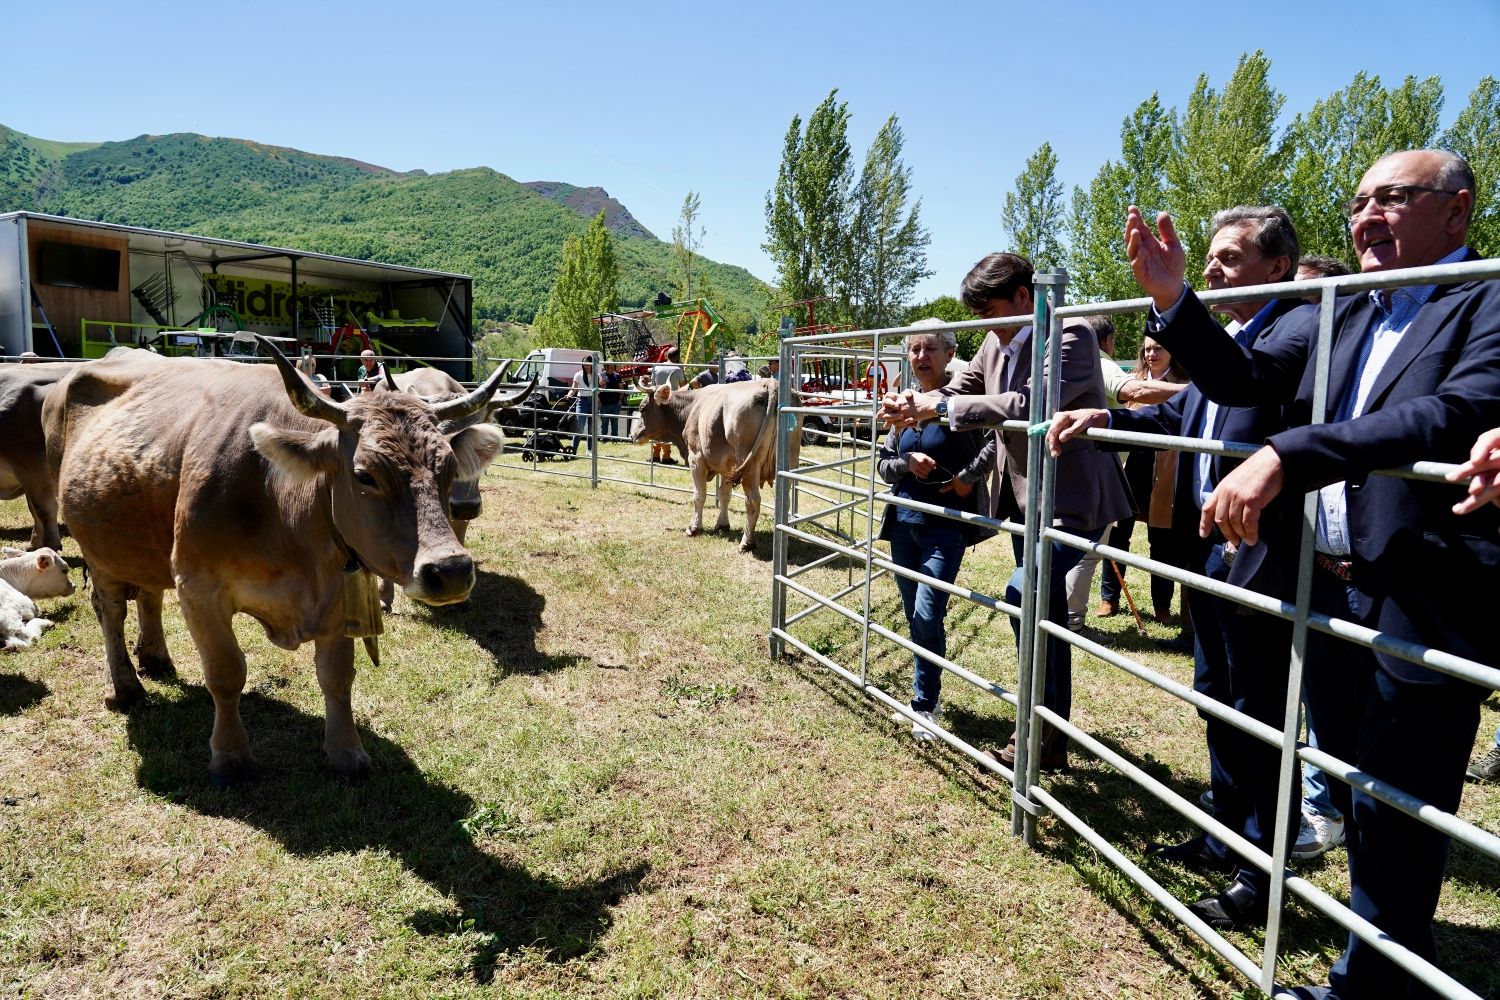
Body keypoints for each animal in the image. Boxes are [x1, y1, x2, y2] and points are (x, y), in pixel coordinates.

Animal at [630, 377, 798, 551]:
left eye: (642, 408)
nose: (632, 435)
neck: (692, 407)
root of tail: (769, 383)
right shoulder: (728, 466)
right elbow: (724, 494)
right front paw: (722, 524)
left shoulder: (696, 458)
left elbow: (699, 495)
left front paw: (694, 527)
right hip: (788, 463)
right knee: (784, 500)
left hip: (750, 465)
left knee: (752, 501)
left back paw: (747, 542)